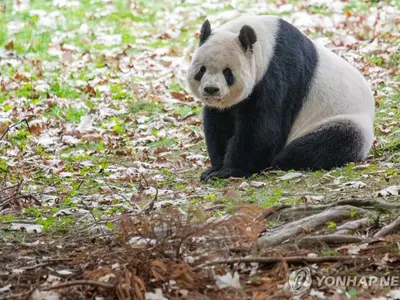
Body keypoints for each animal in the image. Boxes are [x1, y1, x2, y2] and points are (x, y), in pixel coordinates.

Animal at [187, 15, 376, 180]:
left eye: (228, 73)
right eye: (202, 70)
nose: (211, 90)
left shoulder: (277, 74)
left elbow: (262, 129)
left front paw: (230, 170)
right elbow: (220, 124)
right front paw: (214, 168)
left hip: (343, 119)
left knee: (327, 143)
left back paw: (281, 160)